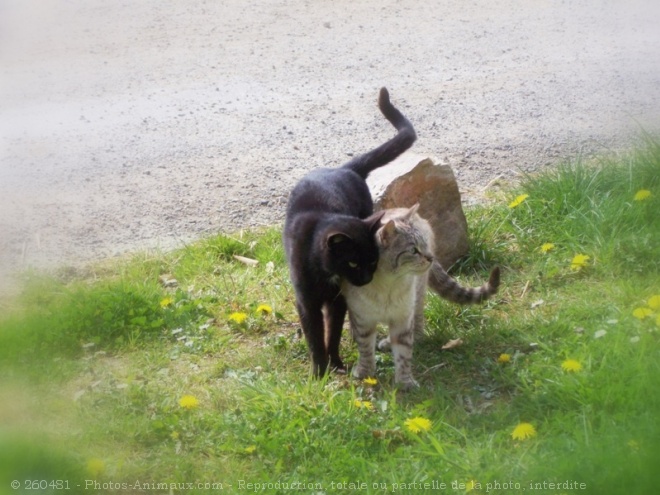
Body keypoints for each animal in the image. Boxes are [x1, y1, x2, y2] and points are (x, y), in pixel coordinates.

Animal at [284, 88, 418, 376]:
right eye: (353, 262)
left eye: (373, 261)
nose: (366, 278)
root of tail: (343, 169)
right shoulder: (306, 301)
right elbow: (315, 336)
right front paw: (319, 373)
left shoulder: (339, 300)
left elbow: (332, 332)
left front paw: (336, 364)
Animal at [340, 205, 500, 392]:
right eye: (413, 250)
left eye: (423, 246)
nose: (430, 258)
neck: (387, 284)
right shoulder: (363, 319)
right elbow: (365, 348)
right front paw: (366, 371)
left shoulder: (403, 319)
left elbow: (403, 354)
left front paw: (405, 382)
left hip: (416, 297)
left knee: (418, 322)